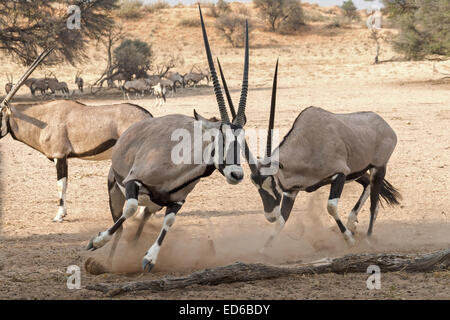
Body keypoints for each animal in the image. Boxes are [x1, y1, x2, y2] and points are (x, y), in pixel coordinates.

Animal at [0, 48, 153, 222]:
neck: (44, 118)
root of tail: (148, 115)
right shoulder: (64, 158)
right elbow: (65, 184)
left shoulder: (59, 156)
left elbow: (61, 184)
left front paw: (59, 215)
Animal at [86, 6, 251, 272]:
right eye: (220, 138)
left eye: (243, 141)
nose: (236, 174)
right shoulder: (133, 182)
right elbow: (129, 210)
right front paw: (96, 241)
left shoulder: (176, 202)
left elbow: (169, 223)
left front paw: (149, 258)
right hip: (115, 192)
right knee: (122, 223)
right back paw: (107, 263)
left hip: (152, 206)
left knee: (139, 225)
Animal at [246, 61, 400, 249]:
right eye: (257, 187)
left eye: (272, 184)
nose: (269, 217)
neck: (307, 144)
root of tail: (385, 125)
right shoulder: (292, 191)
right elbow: (283, 219)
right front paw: (263, 250)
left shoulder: (339, 174)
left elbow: (331, 207)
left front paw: (349, 239)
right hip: (357, 172)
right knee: (367, 185)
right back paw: (352, 222)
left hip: (378, 167)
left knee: (374, 204)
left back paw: (369, 238)